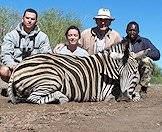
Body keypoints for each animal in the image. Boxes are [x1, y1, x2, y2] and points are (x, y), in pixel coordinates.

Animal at [7, 39, 142, 104]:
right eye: (120, 74)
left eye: (135, 72)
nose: (123, 98)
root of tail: (17, 67)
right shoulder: (106, 92)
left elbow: (137, 94)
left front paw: (134, 96)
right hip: (53, 78)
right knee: (32, 98)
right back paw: (60, 97)